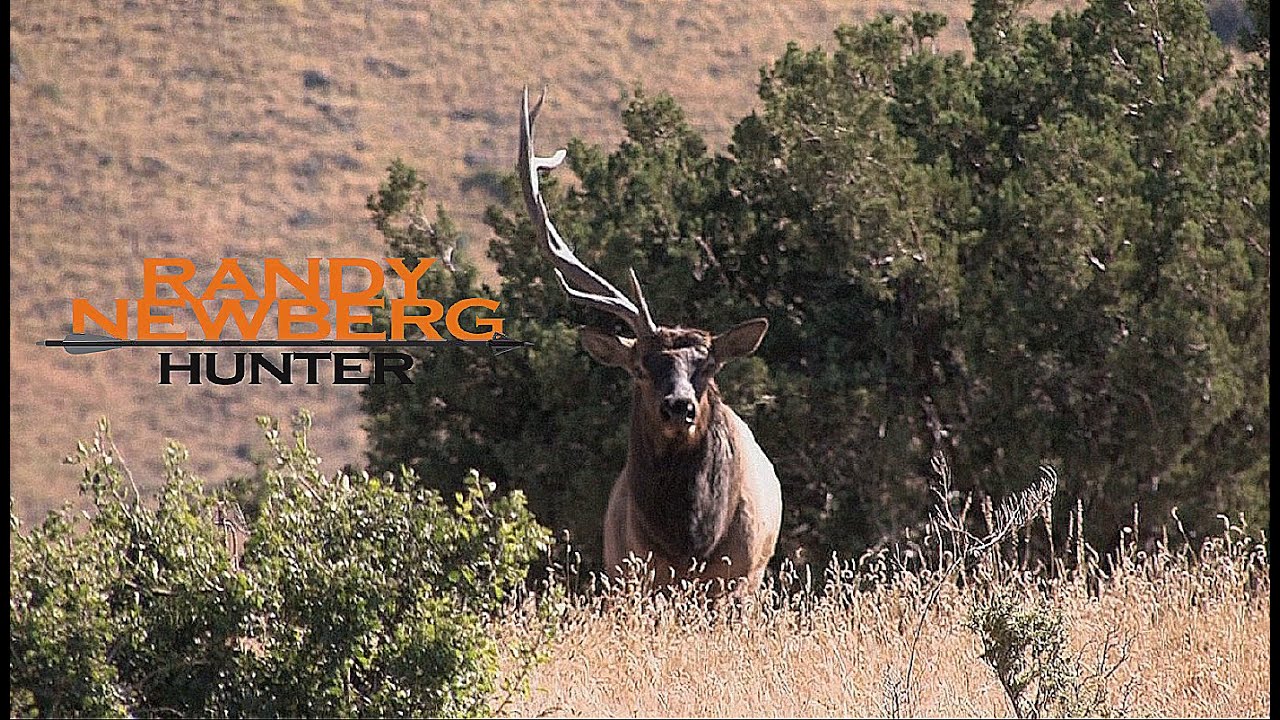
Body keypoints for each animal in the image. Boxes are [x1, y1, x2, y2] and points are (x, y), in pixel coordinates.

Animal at [518, 88, 782, 596]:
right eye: (640, 367)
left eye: (709, 367)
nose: (679, 406)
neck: (691, 544)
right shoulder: (635, 572)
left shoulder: (741, 575)